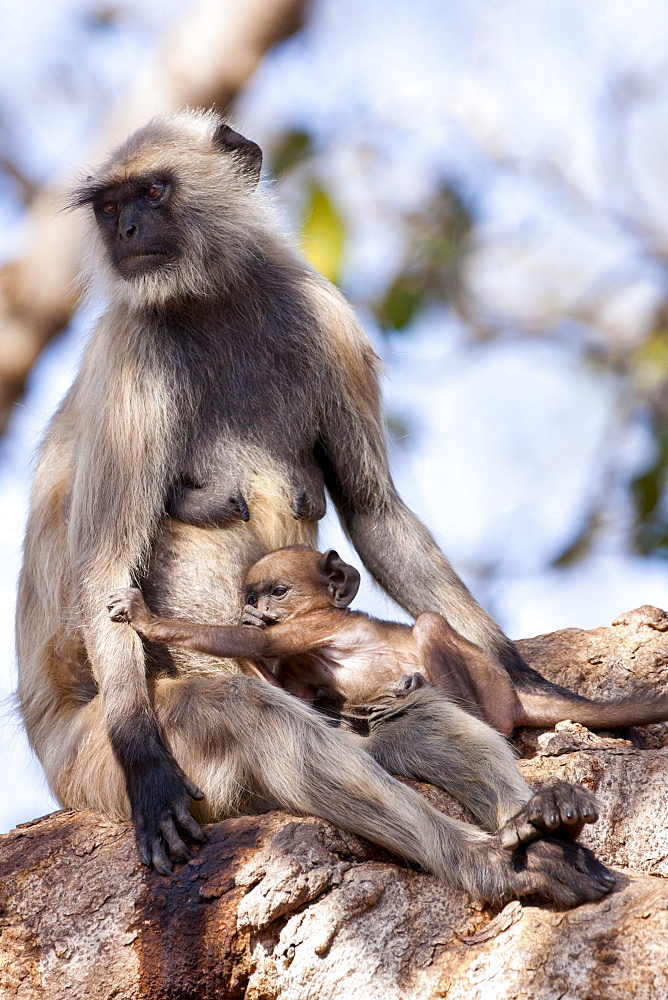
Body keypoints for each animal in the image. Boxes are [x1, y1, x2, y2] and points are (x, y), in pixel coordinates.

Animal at [108, 544, 600, 856]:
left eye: (278, 591)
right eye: (253, 594)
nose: (261, 609)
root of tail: (514, 696)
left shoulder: (315, 624)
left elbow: (257, 643)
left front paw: (146, 619)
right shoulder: (298, 665)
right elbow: (284, 686)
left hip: (488, 684)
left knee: (429, 626)